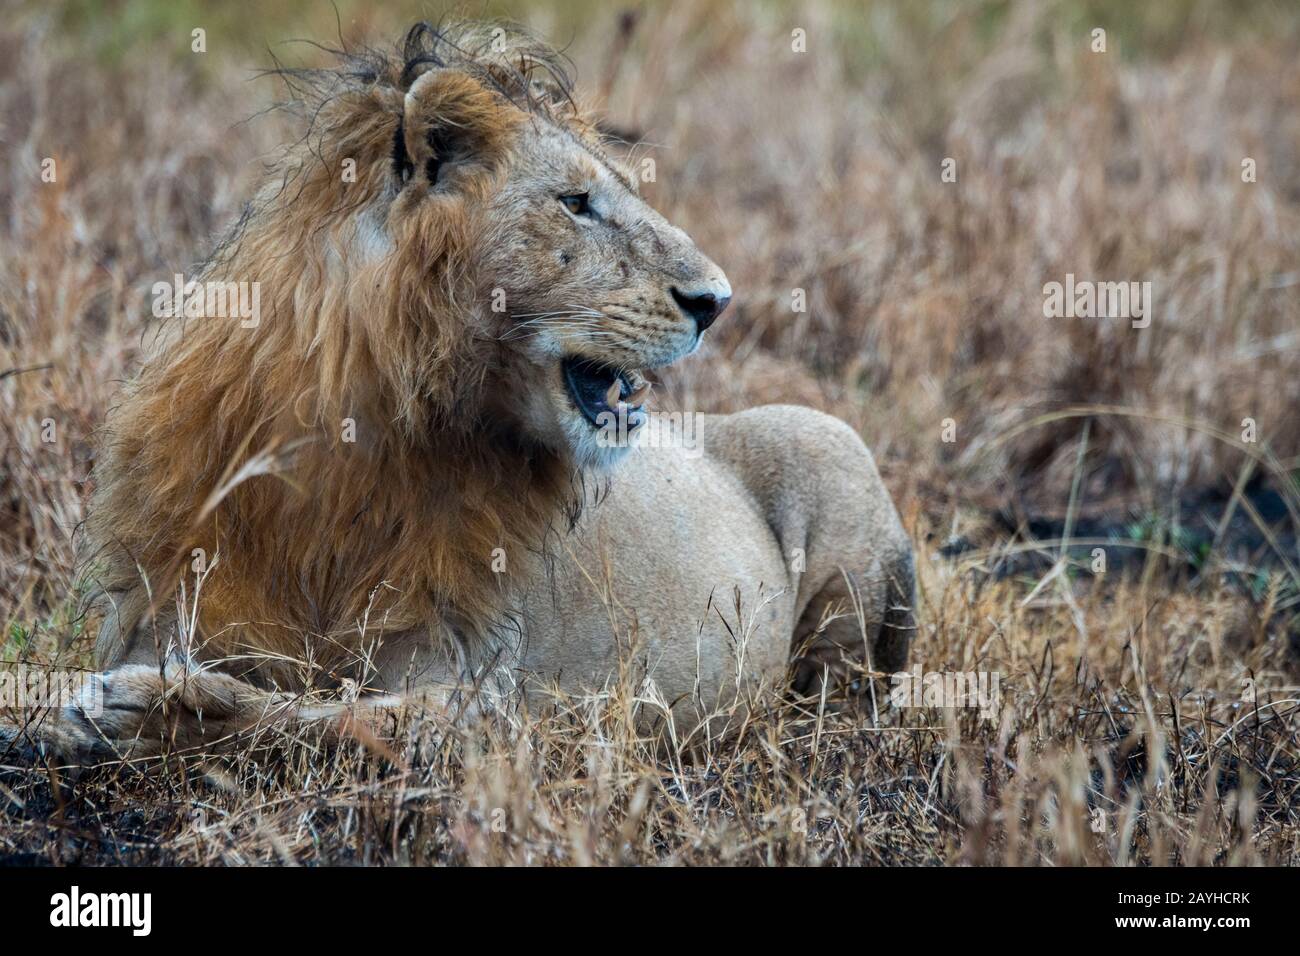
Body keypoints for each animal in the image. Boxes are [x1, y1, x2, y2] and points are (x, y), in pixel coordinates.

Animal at [0, 21, 913, 764]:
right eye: (576, 203)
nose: (717, 301)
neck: (349, 446)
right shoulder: (163, 600)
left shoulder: (490, 699)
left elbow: (332, 713)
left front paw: (149, 710)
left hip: (830, 451)